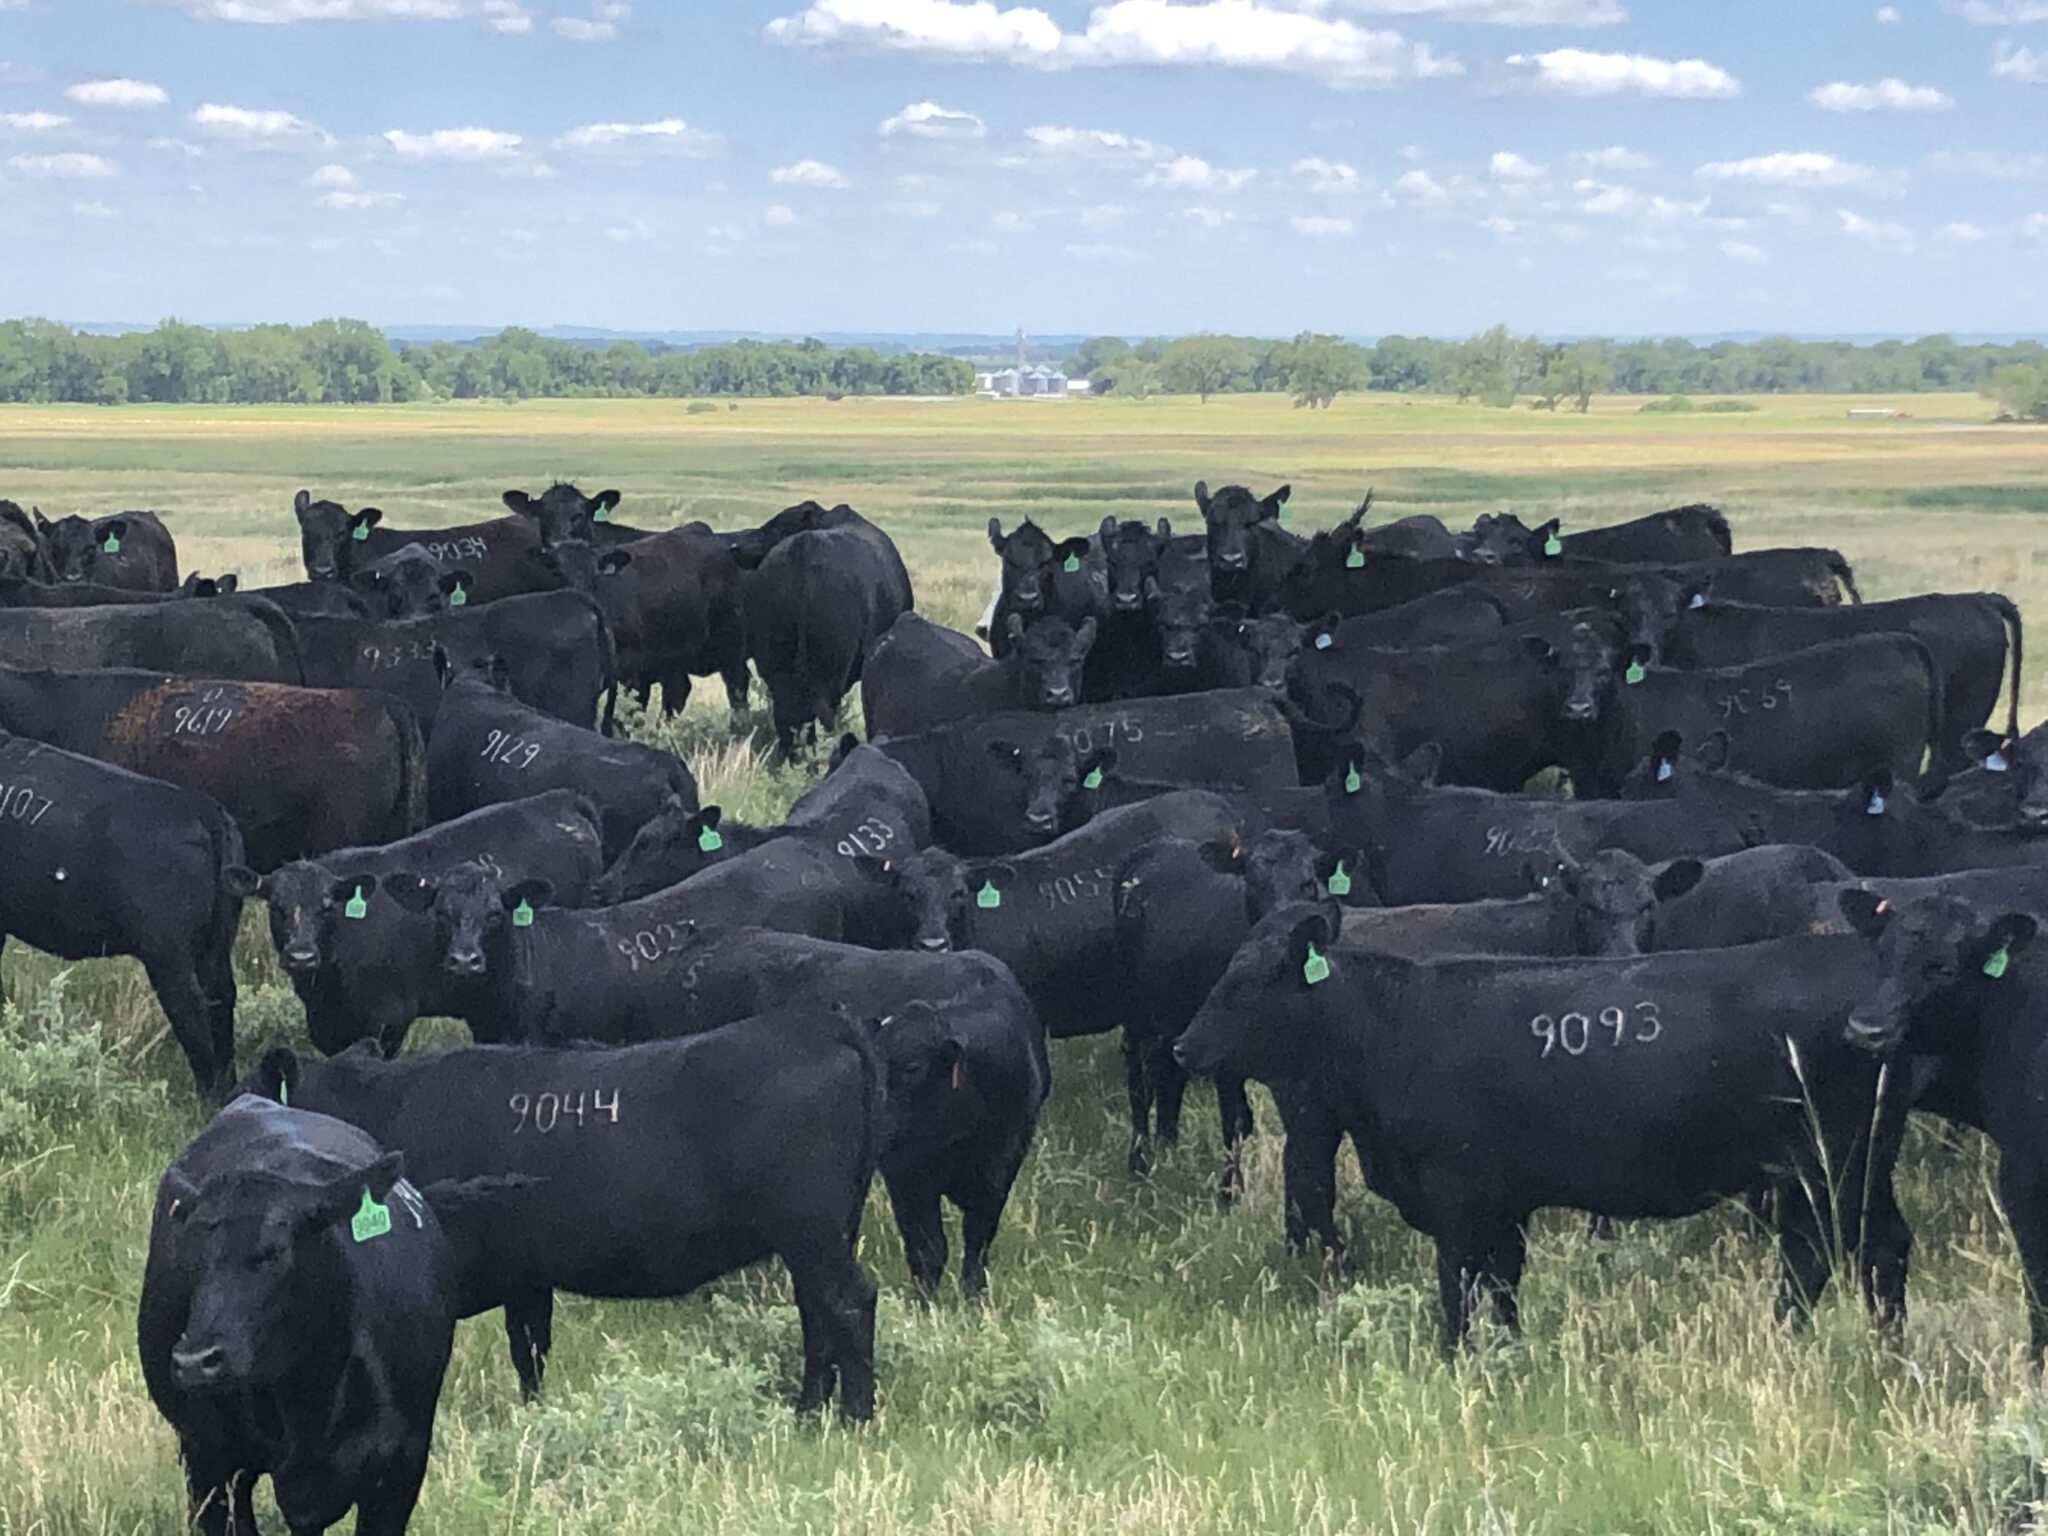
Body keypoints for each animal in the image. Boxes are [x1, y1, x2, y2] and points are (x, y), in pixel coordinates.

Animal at [238, 1012, 883, 1417]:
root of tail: (814, 1023)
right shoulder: (527, 1272)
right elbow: (531, 1349)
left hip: (811, 1231)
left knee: (849, 1300)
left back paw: (852, 1414)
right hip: (820, 1235)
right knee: (817, 1310)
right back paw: (809, 1411)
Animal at [539, 525, 751, 715]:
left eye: (594, 576)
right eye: (558, 574)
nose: (585, 598)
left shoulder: (635, 671)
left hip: (729, 639)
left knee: (737, 683)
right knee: (678, 691)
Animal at [1174, 901, 1921, 1350]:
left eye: (1247, 982)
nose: (1184, 1046)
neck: (1392, 1028)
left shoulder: (1457, 1195)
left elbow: (1458, 1285)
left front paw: (1453, 1359)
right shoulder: (1502, 1204)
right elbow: (1501, 1285)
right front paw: (1508, 1352)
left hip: (1836, 1163)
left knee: (1836, 1252)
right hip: (1842, 1168)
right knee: (1864, 1249)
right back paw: (1878, 1345)